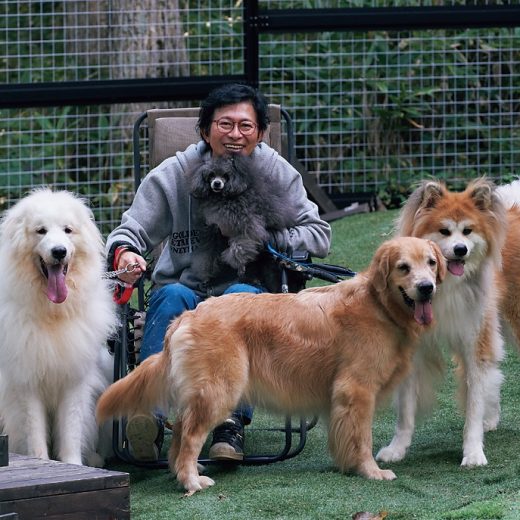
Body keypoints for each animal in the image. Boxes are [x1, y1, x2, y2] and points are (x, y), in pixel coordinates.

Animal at [0, 189, 118, 466]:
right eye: (41, 231)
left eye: (68, 230)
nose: (59, 251)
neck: (52, 314)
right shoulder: (26, 384)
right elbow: (34, 433)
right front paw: (41, 463)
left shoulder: (74, 380)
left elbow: (72, 431)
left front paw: (75, 465)